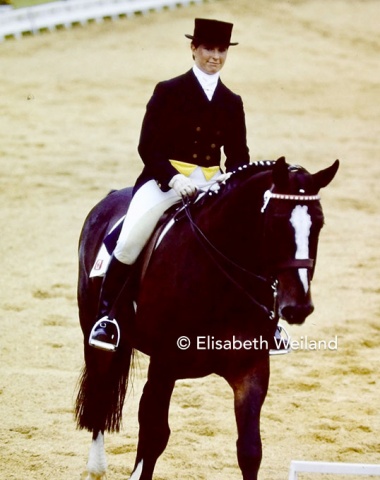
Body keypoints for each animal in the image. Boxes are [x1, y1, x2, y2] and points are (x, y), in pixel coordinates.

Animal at [74, 158, 338, 480]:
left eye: (319, 224)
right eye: (276, 222)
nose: (298, 307)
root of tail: (109, 198)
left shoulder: (251, 370)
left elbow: (250, 450)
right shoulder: (163, 366)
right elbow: (153, 437)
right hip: (95, 332)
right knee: (100, 393)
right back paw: (96, 467)